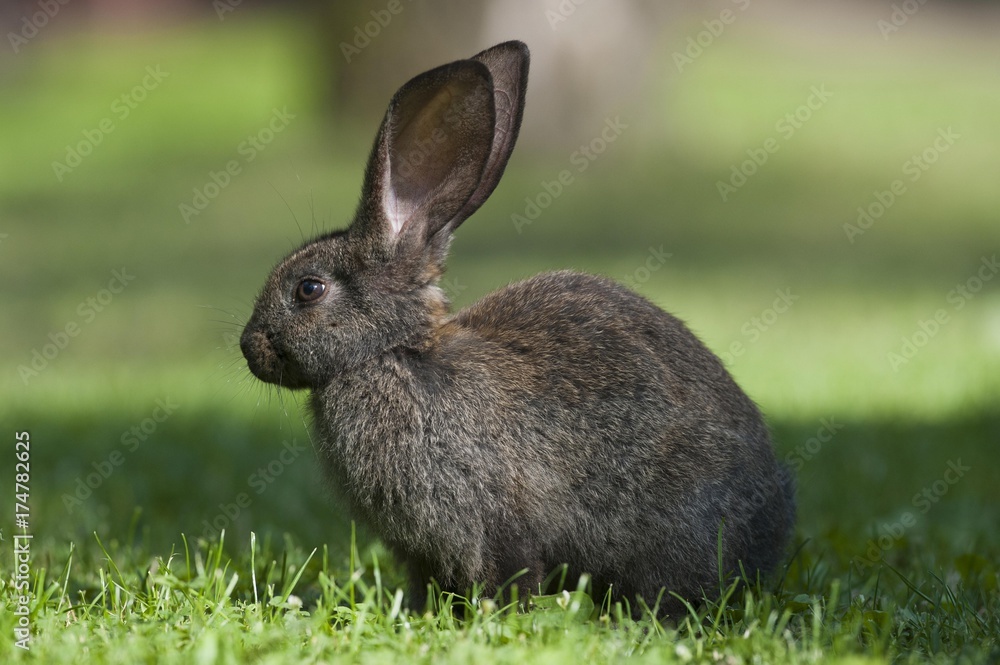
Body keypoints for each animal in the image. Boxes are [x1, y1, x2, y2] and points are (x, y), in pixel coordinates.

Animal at [240, 40, 795, 616]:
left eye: (309, 289)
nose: (249, 347)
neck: (392, 353)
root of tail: (771, 533)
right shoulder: (421, 549)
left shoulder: (487, 517)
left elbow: (508, 569)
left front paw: (497, 615)